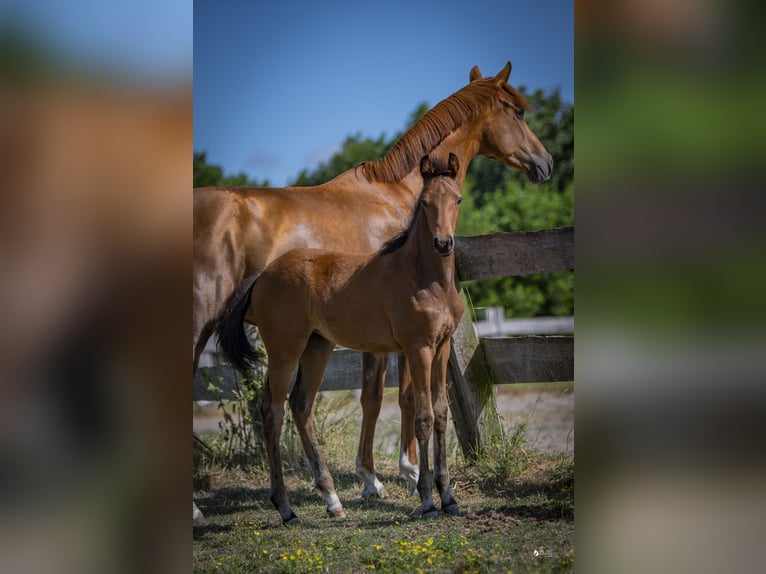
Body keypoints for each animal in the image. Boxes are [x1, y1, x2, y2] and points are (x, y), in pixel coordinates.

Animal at [218, 155, 468, 524]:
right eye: (424, 203)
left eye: (457, 200)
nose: (443, 243)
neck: (424, 277)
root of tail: (262, 276)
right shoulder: (418, 347)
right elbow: (422, 416)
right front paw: (426, 500)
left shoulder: (442, 346)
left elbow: (440, 414)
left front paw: (448, 497)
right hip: (284, 349)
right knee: (272, 411)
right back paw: (286, 508)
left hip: (317, 346)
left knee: (301, 405)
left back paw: (332, 499)